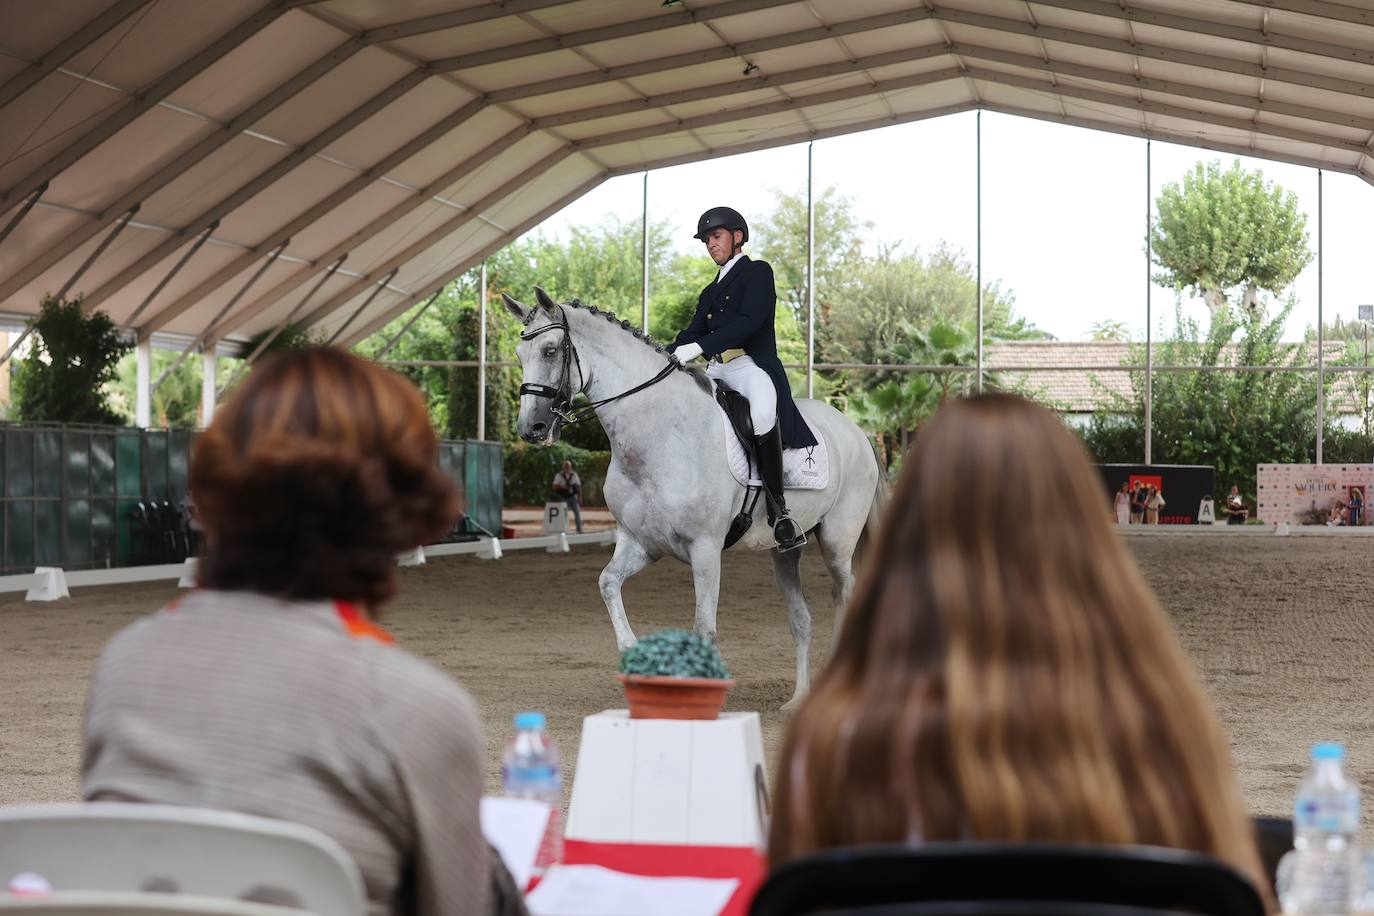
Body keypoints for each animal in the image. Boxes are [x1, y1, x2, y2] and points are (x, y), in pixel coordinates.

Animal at [502, 287, 879, 708]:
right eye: (519, 354)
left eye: (551, 350)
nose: (531, 429)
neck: (661, 434)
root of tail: (857, 431)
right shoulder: (640, 542)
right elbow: (608, 582)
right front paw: (632, 656)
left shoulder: (705, 548)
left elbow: (704, 628)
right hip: (786, 549)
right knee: (801, 617)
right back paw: (798, 699)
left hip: (837, 542)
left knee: (844, 595)